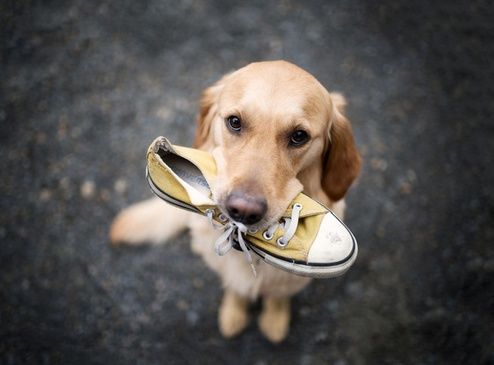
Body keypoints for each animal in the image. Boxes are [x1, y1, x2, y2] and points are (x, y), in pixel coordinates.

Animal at [110, 59, 360, 342]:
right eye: (234, 122)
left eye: (299, 136)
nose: (243, 211)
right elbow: (235, 289)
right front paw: (233, 313)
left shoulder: (290, 281)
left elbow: (278, 295)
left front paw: (275, 318)